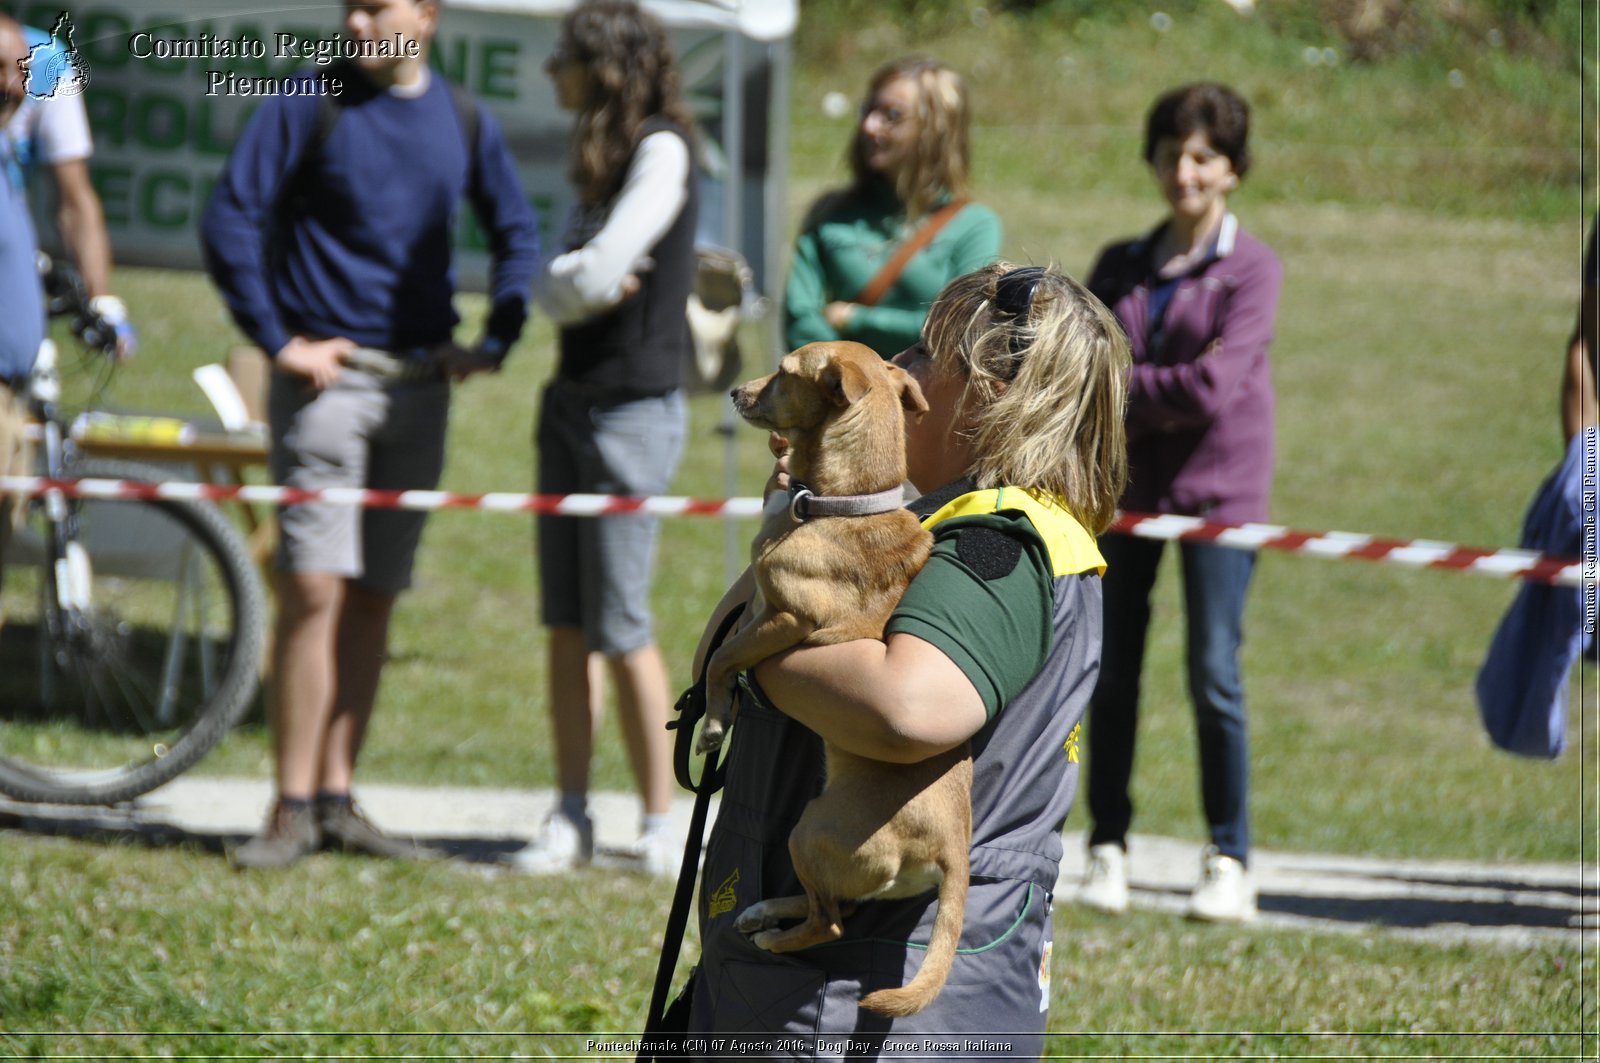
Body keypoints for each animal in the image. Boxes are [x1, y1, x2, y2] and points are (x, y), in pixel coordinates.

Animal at [700, 342, 972, 1024]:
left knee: (832, 923)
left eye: (783, 371)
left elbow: (722, 661)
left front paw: (713, 722)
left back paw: (772, 935)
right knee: (835, 907)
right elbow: (729, 646)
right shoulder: (760, 608)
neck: (844, 502)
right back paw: (764, 910)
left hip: (811, 829)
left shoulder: (787, 619)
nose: (735, 392)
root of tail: (951, 847)